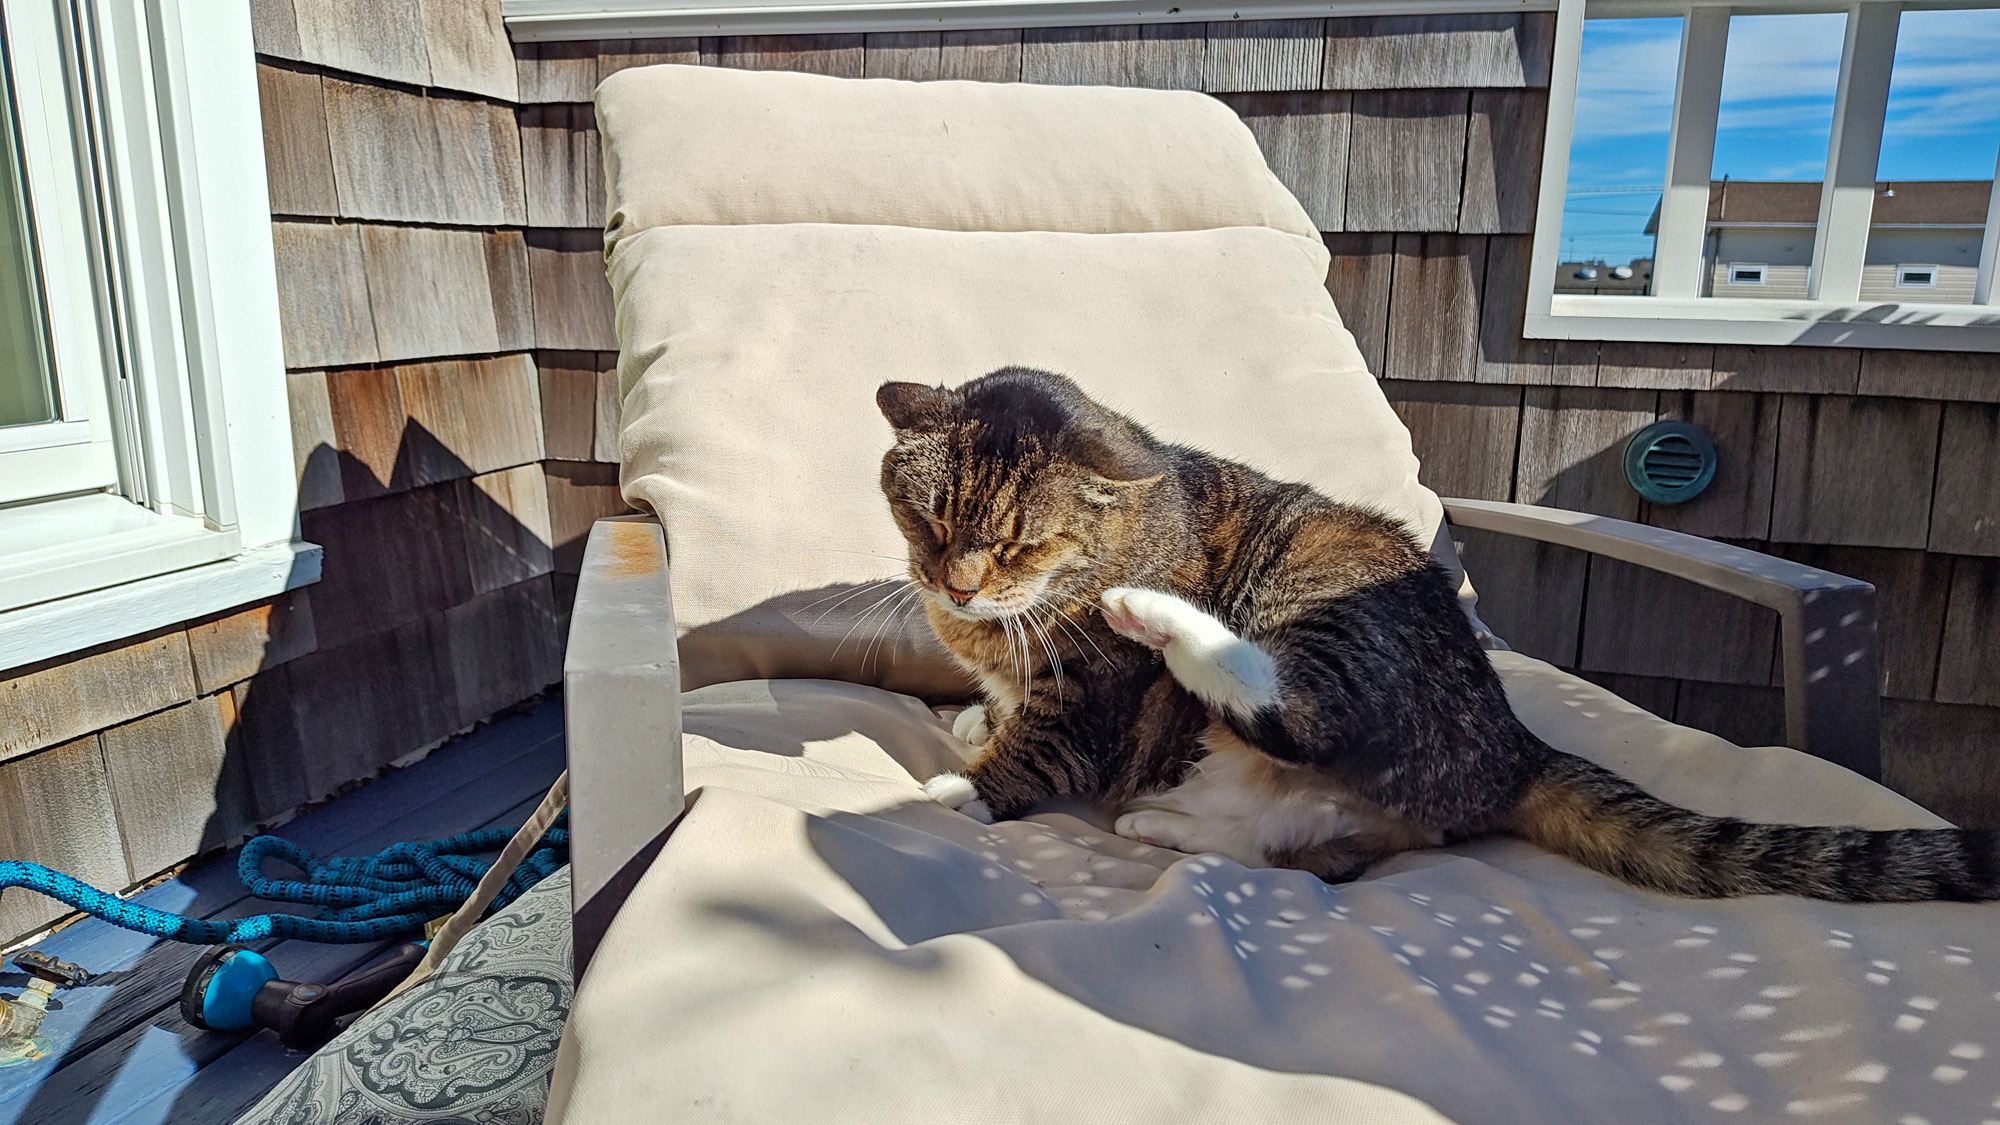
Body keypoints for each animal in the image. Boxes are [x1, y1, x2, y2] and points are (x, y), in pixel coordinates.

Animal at [877, 366, 1999, 902]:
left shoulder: (1090, 700)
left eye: (1018, 545)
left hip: (1324, 598)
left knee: (1307, 723)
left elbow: (1039, 744)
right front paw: (977, 722)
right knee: (1299, 849)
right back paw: (1168, 829)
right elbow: (1002, 708)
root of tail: (1510, 745)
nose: (956, 585)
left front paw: (966, 782)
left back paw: (1164, 625)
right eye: (928, 523)